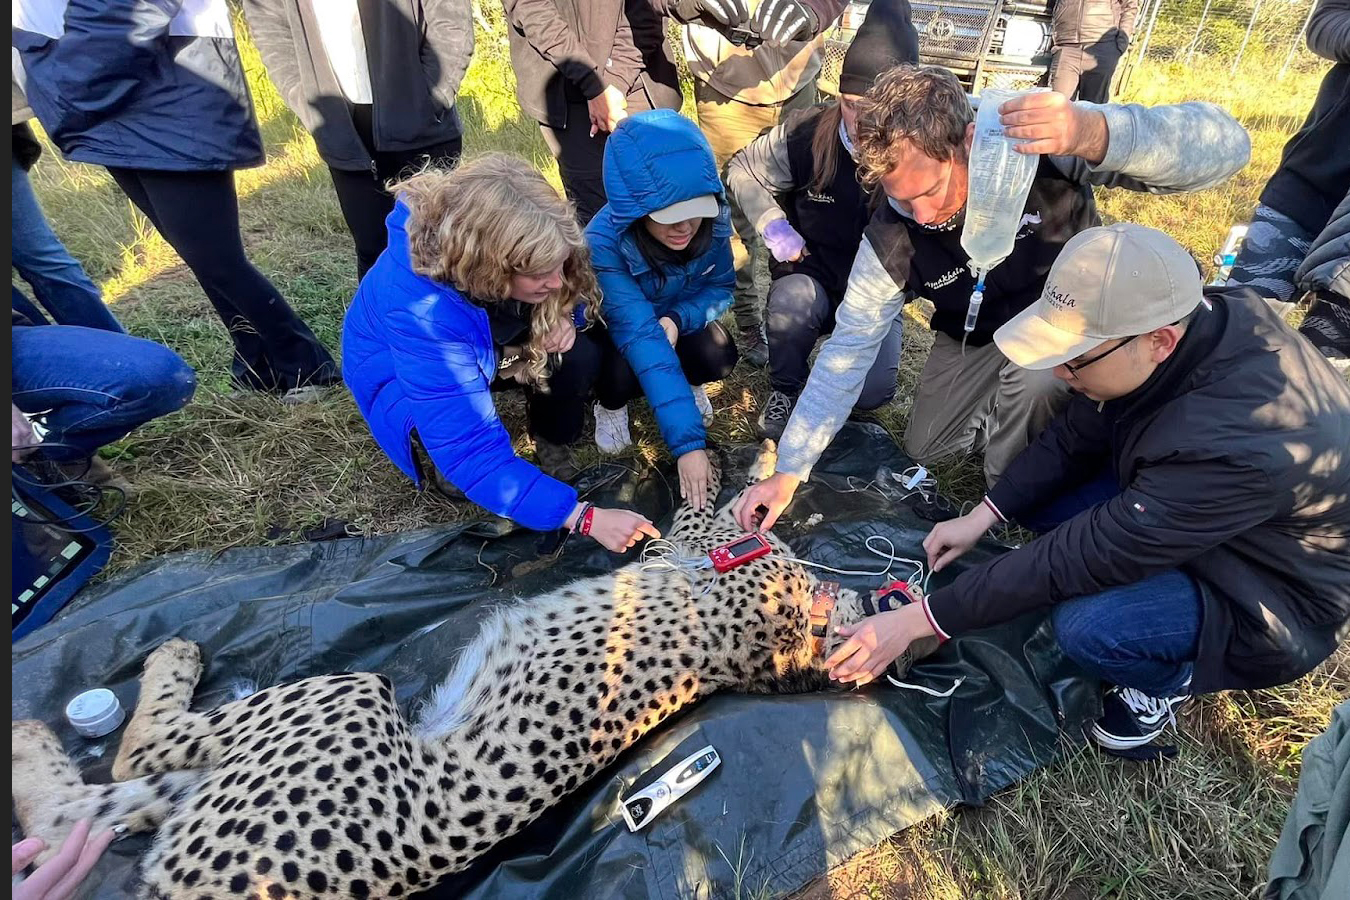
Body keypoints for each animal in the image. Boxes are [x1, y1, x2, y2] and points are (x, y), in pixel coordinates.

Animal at [13, 450, 896, 900]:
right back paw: (35, 739)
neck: (795, 643)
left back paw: (163, 660)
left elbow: (703, 508)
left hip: (340, 704)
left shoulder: (697, 544)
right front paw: (747, 466)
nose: (894, 596)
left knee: (135, 753)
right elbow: (707, 500)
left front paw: (754, 466)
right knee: (73, 816)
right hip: (230, 791)